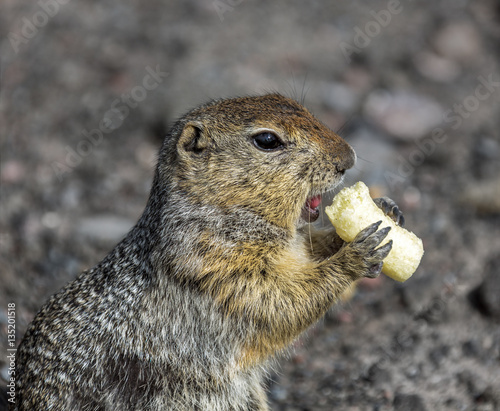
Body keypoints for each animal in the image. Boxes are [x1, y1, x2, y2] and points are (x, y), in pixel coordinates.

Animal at [12, 95, 402, 410]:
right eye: (267, 140)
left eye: (296, 105)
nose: (347, 158)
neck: (220, 212)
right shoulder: (217, 267)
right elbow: (280, 300)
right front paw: (355, 255)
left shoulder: (291, 250)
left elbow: (310, 255)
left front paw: (385, 211)